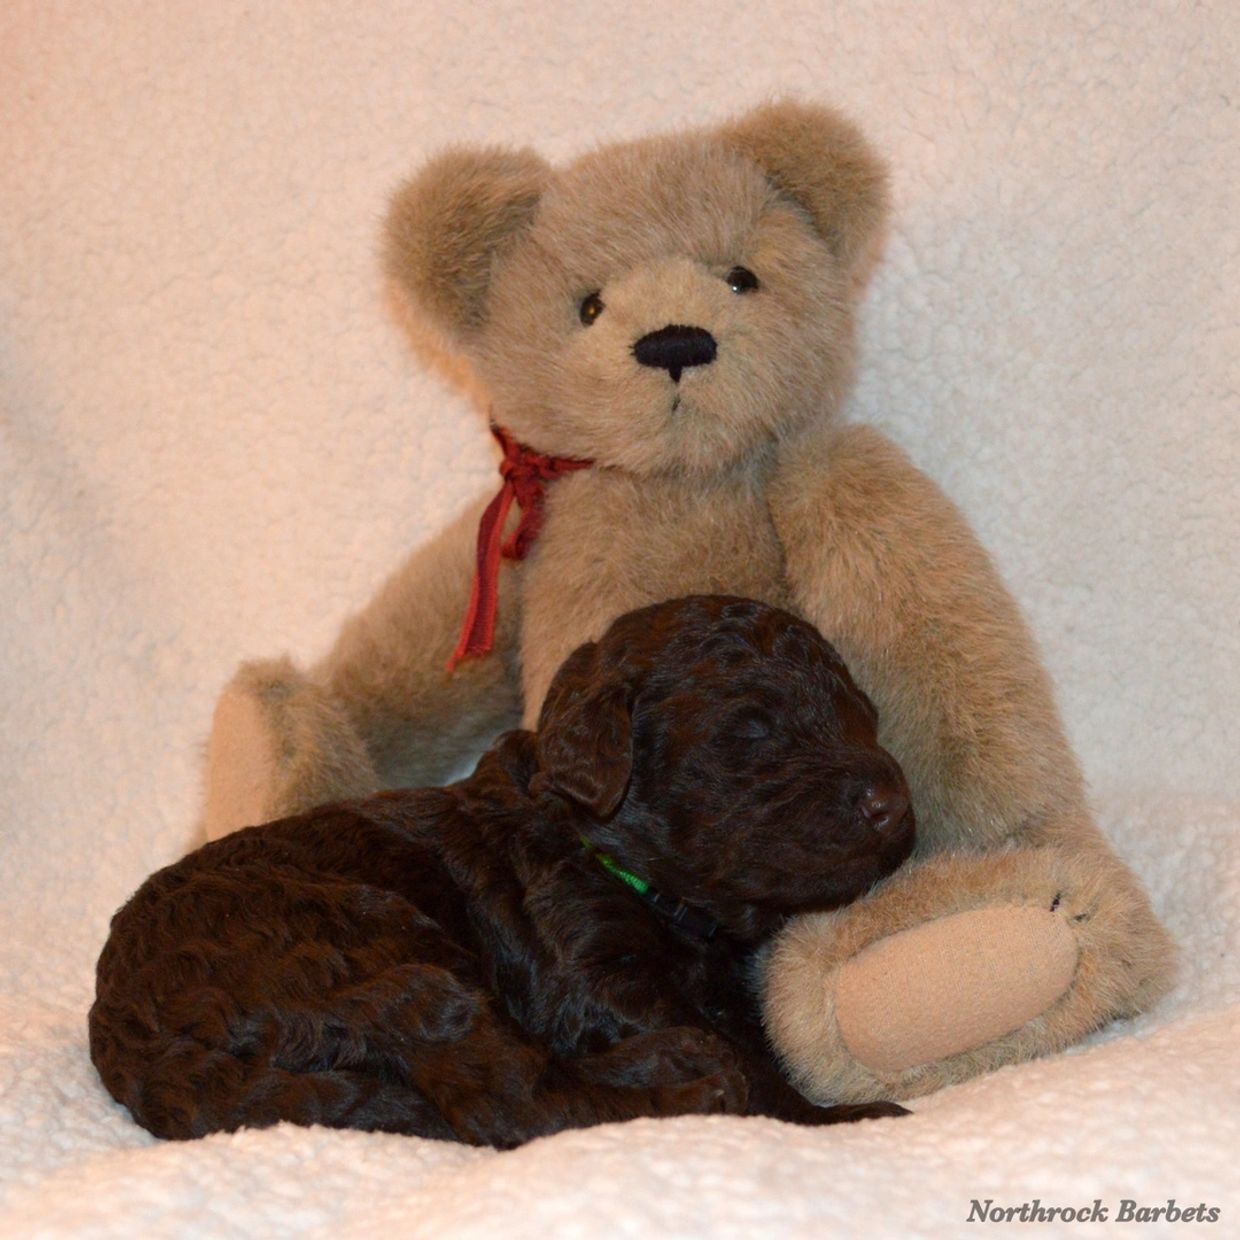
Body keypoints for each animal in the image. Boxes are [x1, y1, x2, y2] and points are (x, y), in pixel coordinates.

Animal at [89, 595, 912, 1145]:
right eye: (750, 730)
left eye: (863, 712)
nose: (894, 801)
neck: (608, 856)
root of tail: (122, 1026)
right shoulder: (586, 969)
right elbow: (738, 1053)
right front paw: (824, 1118)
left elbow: (753, 1036)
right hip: (370, 947)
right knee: (511, 1096)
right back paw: (690, 1075)